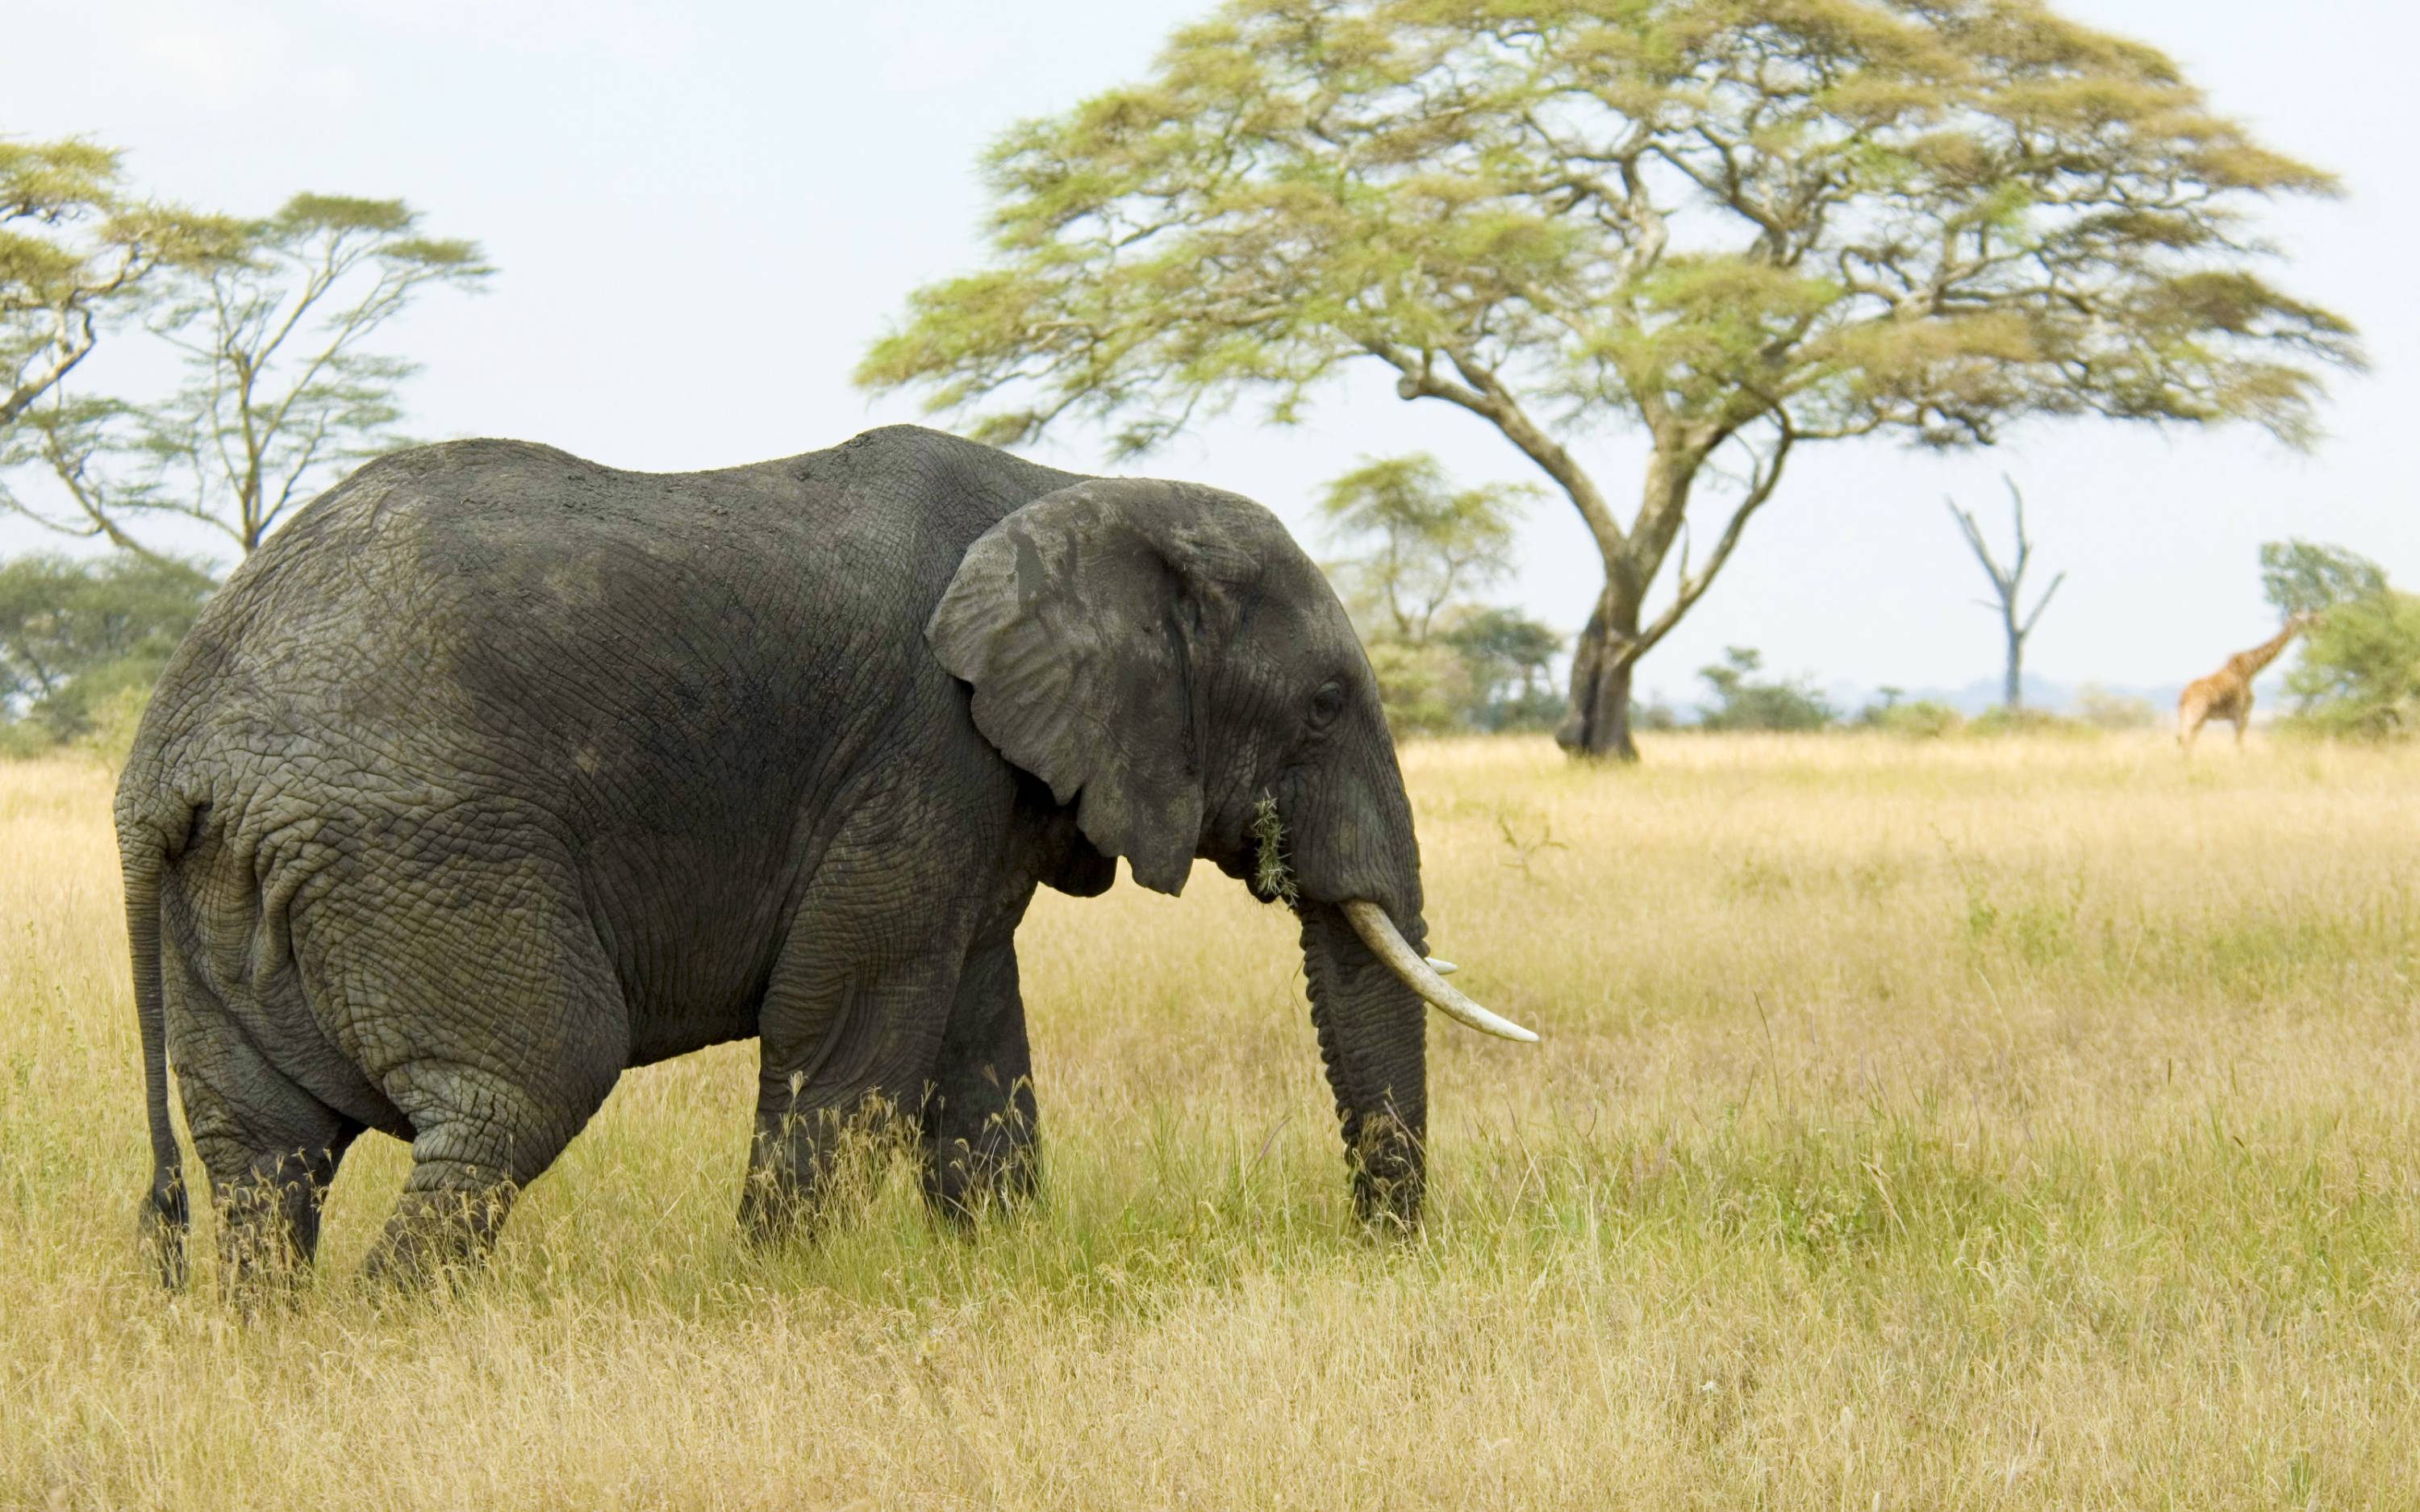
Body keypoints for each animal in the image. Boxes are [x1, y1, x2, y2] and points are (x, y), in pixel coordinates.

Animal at [118, 426, 1529, 1287]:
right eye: (1325, 706)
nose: (1383, 1252)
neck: (1077, 488)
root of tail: (169, 752)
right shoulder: (922, 746)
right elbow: (849, 1024)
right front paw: (774, 1290)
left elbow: (974, 1032)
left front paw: (994, 1272)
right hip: (422, 847)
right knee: (521, 1088)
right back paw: (393, 1332)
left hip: (239, 887)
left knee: (265, 1155)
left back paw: (282, 1342)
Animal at [2178, 610, 2323, 750]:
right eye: (2309, 617)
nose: (2322, 621)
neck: (2251, 669)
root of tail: (2183, 697)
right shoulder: (2242, 713)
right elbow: (2240, 746)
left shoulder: (2238, 716)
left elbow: (2239, 745)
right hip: (2195, 715)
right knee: (2185, 740)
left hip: (2197, 718)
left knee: (2185, 741)